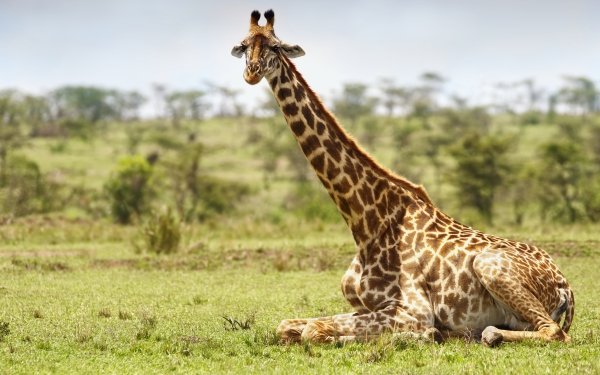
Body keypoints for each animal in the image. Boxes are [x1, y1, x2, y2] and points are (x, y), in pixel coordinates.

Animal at [230, 8, 572, 348]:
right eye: (244, 45)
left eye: (275, 46)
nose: (252, 72)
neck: (365, 221)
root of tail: (565, 285)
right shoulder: (364, 306)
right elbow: (288, 325)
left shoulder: (413, 308)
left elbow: (313, 331)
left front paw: (422, 334)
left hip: (489, 266)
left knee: (553, 332)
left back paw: (477, 334)